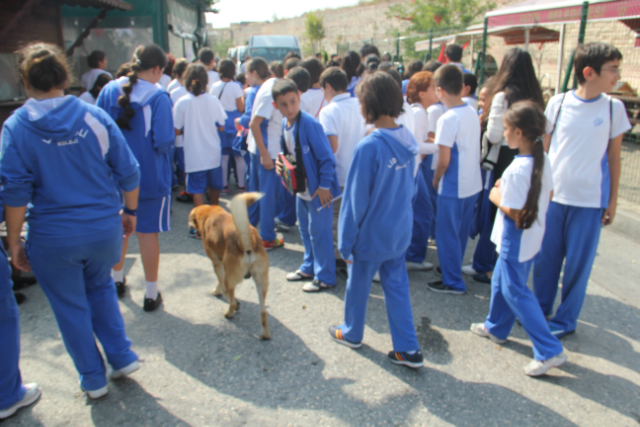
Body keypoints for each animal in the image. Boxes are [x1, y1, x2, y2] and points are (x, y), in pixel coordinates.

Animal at [189, 194, 272, 342]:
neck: (209, 213)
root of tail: (246, 240)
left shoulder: (217, 263)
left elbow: (223, 287)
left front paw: (220, 293)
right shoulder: (221, 266)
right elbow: (219, 283)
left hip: (231, 279)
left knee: (232, 301)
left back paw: (228, 313)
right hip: (261, 283)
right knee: (263, 312)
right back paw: (265, 334)